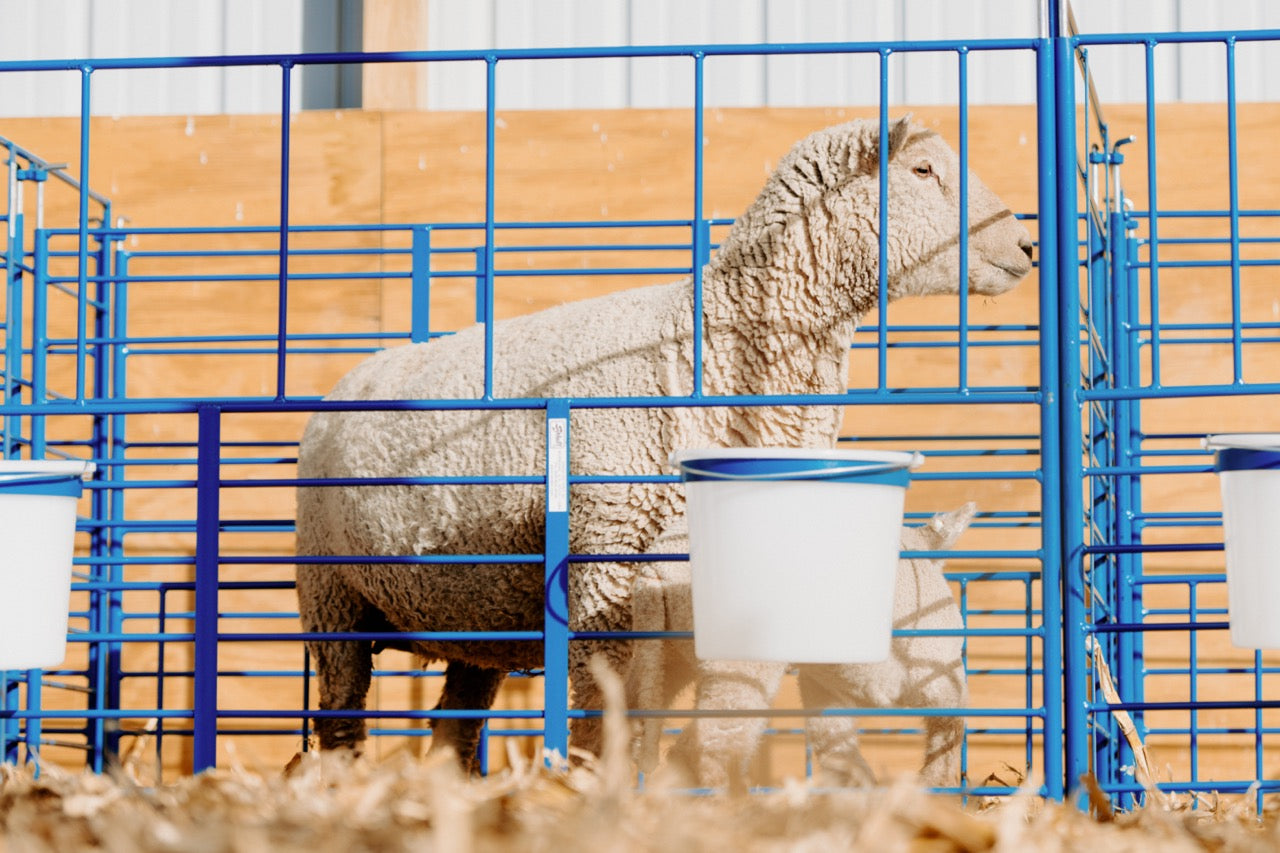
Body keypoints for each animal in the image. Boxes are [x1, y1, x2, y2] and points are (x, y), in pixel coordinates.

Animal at [628, 503, 975, 791]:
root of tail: (653, 572)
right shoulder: (935, 663)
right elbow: (950, 723)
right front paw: (932, 786)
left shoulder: (826, 683)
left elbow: (832, 736)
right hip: (736, 658)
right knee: (713, 739)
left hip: (666, 650)